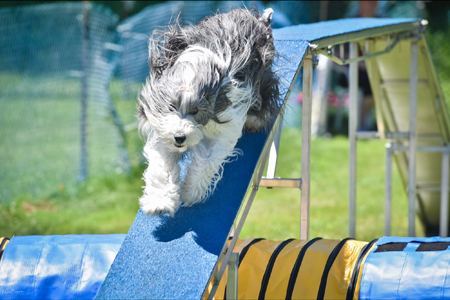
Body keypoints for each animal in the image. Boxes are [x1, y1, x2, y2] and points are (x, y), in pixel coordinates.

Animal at [137, 8, 280, 217]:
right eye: (171, 107)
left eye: (195, 110)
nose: (180, 137)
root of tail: (257, 19)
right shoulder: (164, 130)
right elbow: (163, 166)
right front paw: (160, 202)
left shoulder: (225, 122)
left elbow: (206, 159)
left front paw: (189, 192)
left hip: (262, 76)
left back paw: (255, 121)